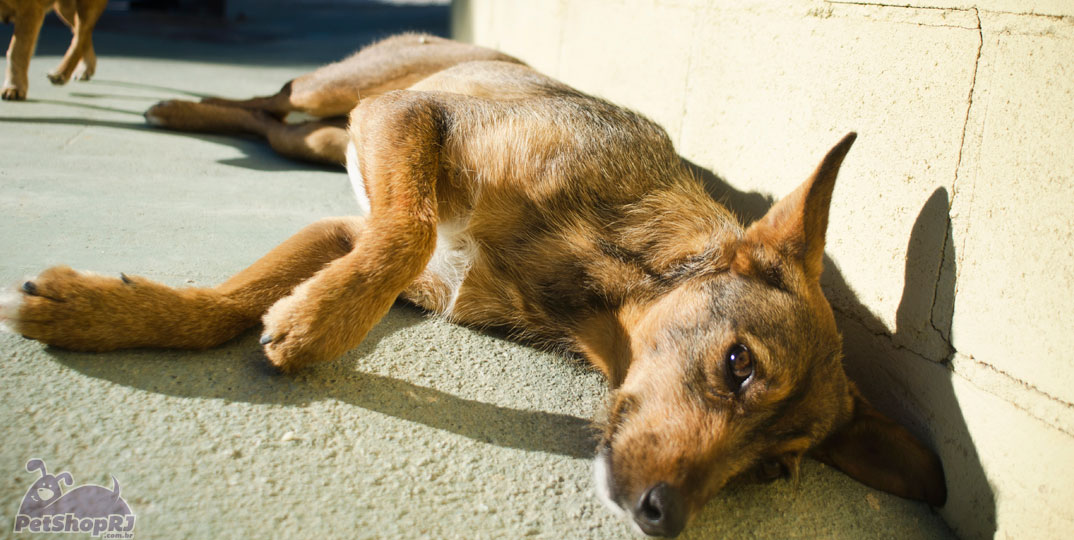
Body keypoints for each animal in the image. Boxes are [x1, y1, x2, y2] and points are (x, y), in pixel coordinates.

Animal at [0, 32, 945, 536]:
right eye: (738, 365)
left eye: (776, 472)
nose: (663, 516)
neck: (592, 276)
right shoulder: (411, 125)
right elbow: (406, 230)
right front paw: (317, 320)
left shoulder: (353, 230)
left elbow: (234, 301)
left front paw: (100, 311)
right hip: (349, 90)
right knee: (279, 97)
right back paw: (176, 110)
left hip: (326, 134)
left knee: (272, 124)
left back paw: (193, 117)